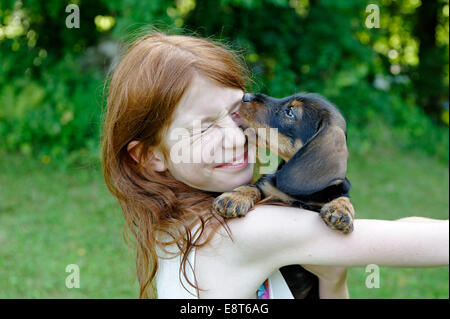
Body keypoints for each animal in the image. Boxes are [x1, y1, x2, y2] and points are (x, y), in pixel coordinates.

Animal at [214, 92, 356, 300]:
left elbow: (343, 197)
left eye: (290, 112)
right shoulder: (267, 188)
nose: (246, 96)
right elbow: (254, 188)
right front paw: (235, 197)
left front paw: (341, 212)